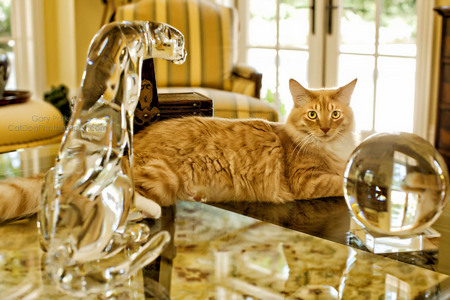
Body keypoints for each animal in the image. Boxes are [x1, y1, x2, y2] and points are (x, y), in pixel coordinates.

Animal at [0, 79, 358, 223]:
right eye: (312, 115)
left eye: (334, 115)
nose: (325, 129)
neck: (331, 147)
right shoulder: (307, 181)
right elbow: (340, 179)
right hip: (160, 176)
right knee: (113, 196)